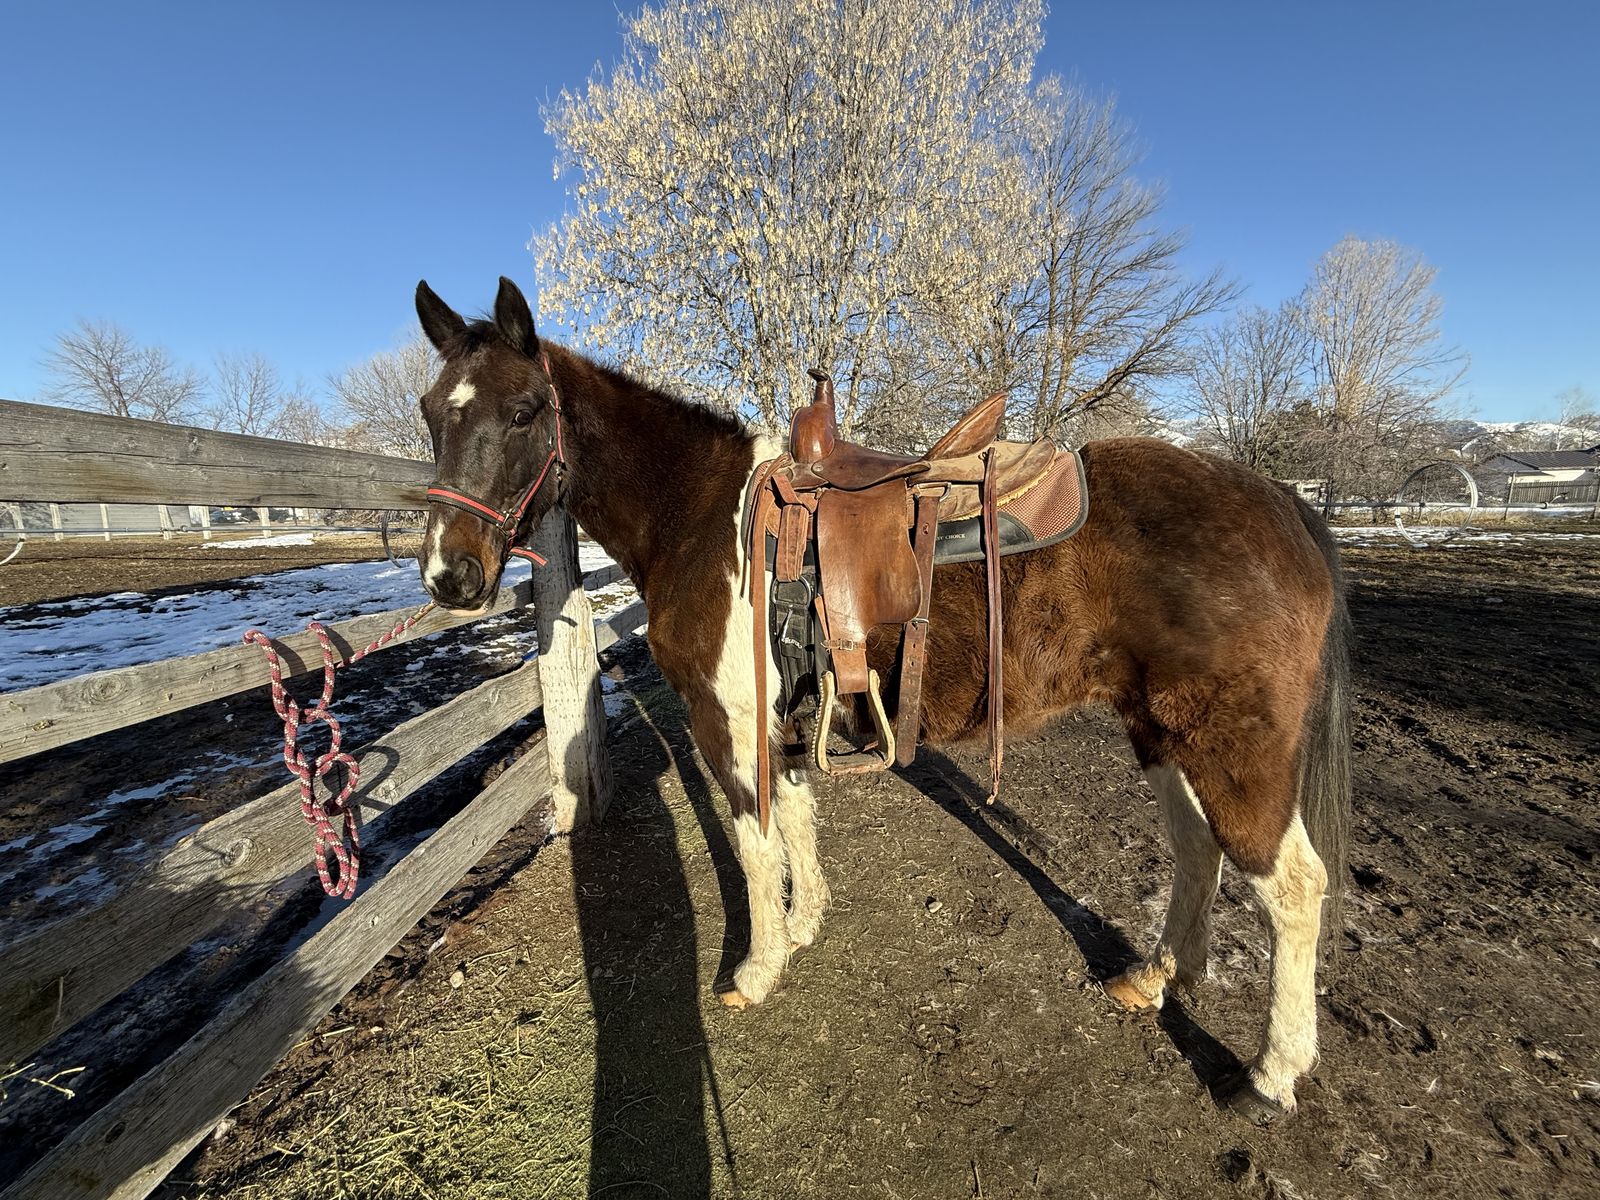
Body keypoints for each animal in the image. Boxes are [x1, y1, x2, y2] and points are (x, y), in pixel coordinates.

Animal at [411, 276, 1351, 1123]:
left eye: (526, 410)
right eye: (430, 412)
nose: (450, 576)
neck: (704, 519)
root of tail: (1279, 503)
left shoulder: (728, 724)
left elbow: (755, 844)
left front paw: (757, 969)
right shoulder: (779, 720)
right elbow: (793, 819)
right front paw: (804, 927)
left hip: (1234, 746)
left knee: (1292, 887)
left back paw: (1269, 1079)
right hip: (1163, 728)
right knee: (1198, 849)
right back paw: (1154, 979)